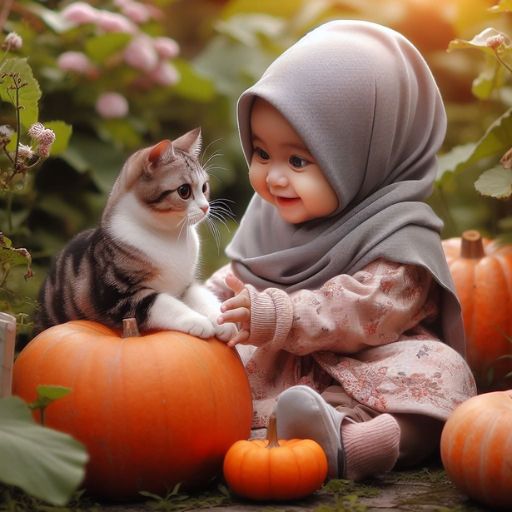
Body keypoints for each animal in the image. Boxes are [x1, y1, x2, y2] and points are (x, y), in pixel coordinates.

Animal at [35, 127, 236, 344]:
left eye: (204, 187)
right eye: (184, 191)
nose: (206, 207)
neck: (170, 237)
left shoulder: (186, 284)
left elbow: (204, 296)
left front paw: (223, 320)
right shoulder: (117, 296)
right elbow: (164, 302)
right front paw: (198, 321)